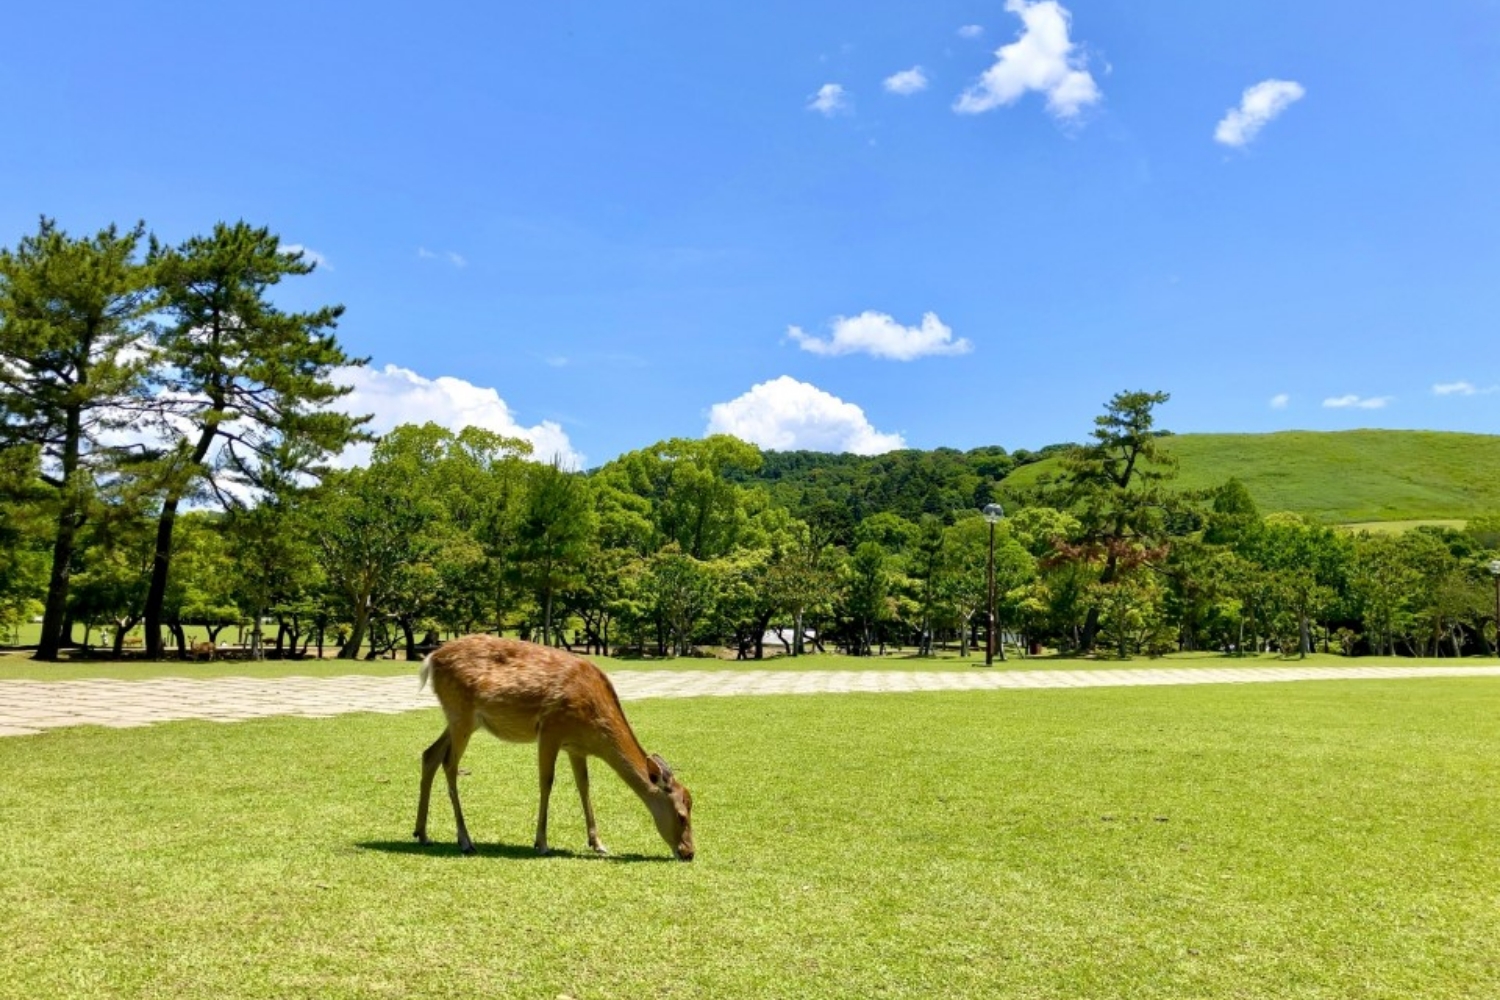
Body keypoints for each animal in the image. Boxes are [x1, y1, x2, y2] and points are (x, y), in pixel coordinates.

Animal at [414, 634, 695, 861]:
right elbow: (546, 782)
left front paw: (598, 843)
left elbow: (584, 785)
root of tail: (431, 659)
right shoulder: (551, 729)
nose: (689, 853)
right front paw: (541, 843)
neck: (594, 728)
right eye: (682, 815)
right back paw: (465, 840)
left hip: (459, 720)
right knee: (449, 764)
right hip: (461, 714)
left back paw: (422, 833)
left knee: (430, 753)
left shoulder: (576, 747)